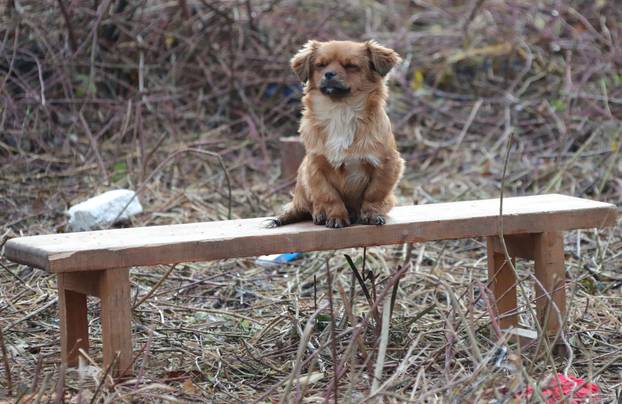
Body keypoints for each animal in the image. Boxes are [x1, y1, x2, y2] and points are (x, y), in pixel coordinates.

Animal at [272, 40, 404, 227]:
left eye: (351, 66)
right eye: (320, 65)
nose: (329, 74)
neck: (341, 110)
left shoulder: (388, 164)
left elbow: (374, 193)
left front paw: (371, 214)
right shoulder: (315, 167)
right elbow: (329, 196)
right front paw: (336, 216)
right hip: (302, 182)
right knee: (305, 207)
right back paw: (316, 214)